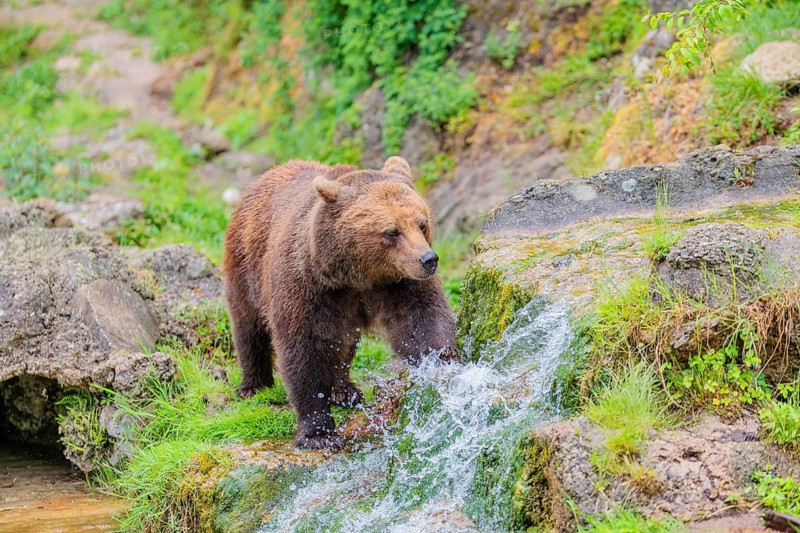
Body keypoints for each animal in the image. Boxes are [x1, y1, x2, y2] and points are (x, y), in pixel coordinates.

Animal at [222, 156, 460, 449]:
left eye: (422, 223)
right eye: (392, 231)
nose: (428, 259)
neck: (356, 276)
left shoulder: (398, 284)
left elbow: (421, 320)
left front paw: (442, 359)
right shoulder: (305, 286)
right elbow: (303, 349)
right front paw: (318, 433)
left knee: (342, 341)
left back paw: (345, 390)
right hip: (245, 263)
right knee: (248, 323)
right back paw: (253, 384)